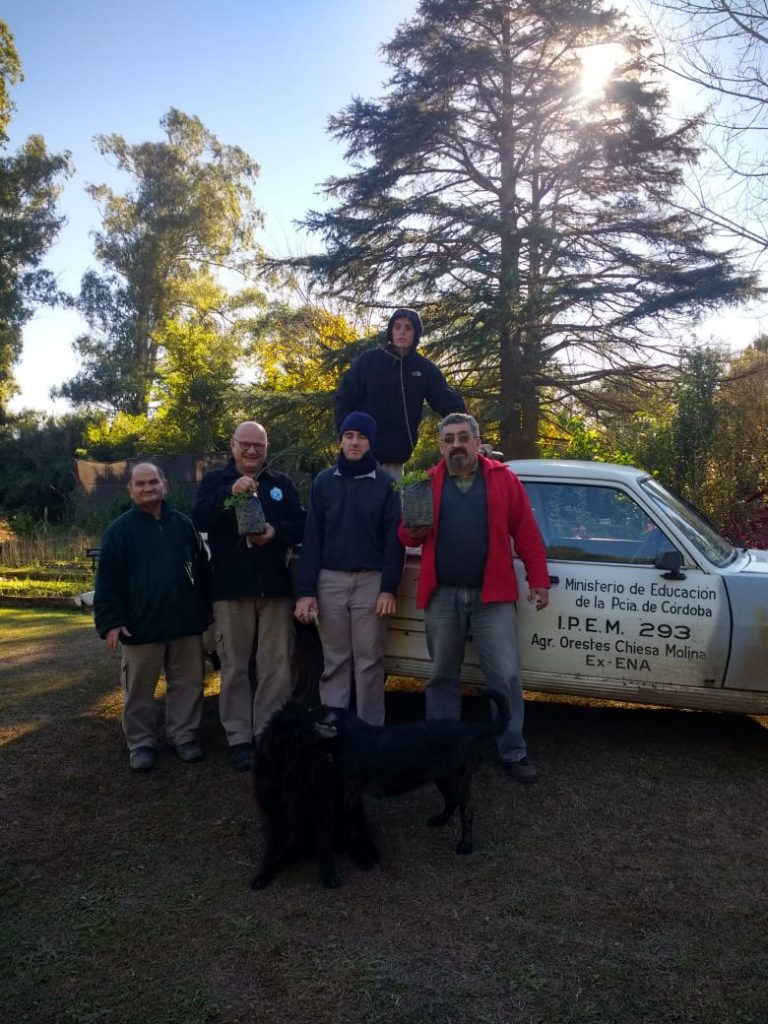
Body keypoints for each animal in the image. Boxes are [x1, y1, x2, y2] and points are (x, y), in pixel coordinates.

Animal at [250, 704, 380, 888]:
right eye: (308, 712)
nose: (325, 705)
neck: (293, 758)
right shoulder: (271, 810)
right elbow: (271, 845)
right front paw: (264, 873)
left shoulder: (320, 805)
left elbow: (324, 843)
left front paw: (329, 874)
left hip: (349, 810)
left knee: (355, 837)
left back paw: (364, 856)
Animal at [309, 688, 507, 856]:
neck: (349, 735)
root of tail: (469, 728)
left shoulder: (350, 793)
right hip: (443, 778)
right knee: (451, 801)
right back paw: (439, 820)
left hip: (459, 780)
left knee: (467, 812)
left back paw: (466, 845)